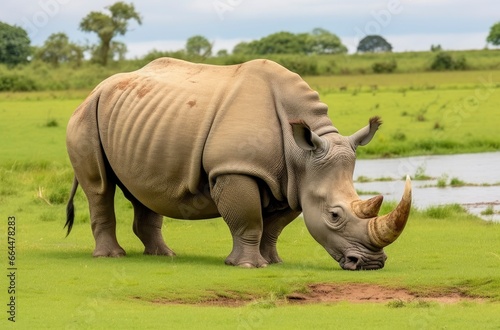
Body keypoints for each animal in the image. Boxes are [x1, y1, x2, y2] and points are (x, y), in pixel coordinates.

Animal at [65, 58, 410, 270]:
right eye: (334, 215)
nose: (372, 264)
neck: (302, 155)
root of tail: (94, 89)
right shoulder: (236, 167)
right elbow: (249, 219)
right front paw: (247, 265)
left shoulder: (292, 181)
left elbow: (274, 227)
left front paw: (273, 261)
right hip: (86, 116)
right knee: (99, 187)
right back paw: (111, 257)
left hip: (139, 122)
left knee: (143, 189)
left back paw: (164, 255)